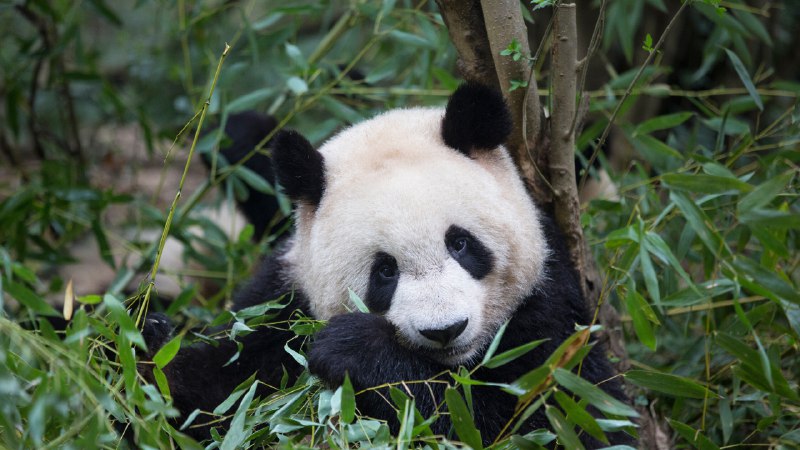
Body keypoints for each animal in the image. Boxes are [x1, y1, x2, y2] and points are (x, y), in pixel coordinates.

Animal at [142, 83, 631, 447]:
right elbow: (213, 391)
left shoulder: (551, 312)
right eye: (385, 270)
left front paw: (355, 349)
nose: (445, 330)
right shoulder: (281, 307)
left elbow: (554, 421)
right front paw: (143, 343)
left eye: (460, 243)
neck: (457, 364)